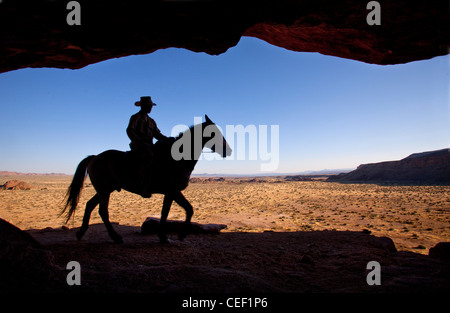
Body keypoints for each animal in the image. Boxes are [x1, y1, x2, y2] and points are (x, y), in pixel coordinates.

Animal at [60, 114, 232, 244]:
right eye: (213, 133)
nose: (227, 150)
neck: (177, 159)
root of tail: (94, 157)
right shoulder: (172, 191)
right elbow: (170, 213)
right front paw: (168, 237)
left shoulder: (172, 192)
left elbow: (183, 210)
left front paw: (176, 236)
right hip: (104, 190)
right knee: (103, 211)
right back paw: (116, 238)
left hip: (105, 190)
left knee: (89, 205)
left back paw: (81, 233)